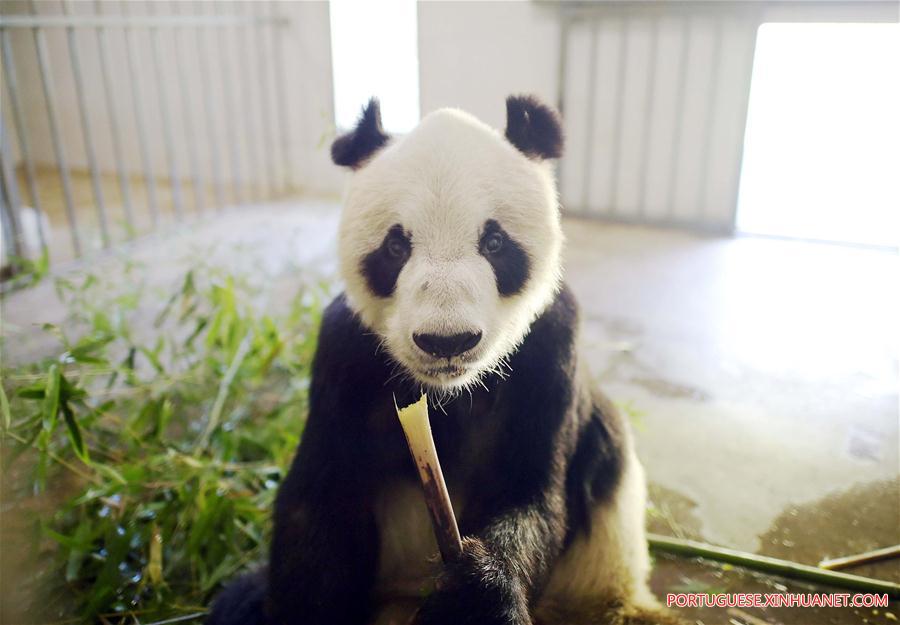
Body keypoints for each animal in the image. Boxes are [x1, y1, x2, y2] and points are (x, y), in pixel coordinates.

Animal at [209, 96, 683, 625]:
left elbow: (534, 494)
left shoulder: (551, 349)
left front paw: (477, 592)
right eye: (396, 246)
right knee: (238, 602)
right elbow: (320, 508)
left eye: (494, 243)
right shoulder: (343, 357)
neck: (446, 393)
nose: (447, 341)